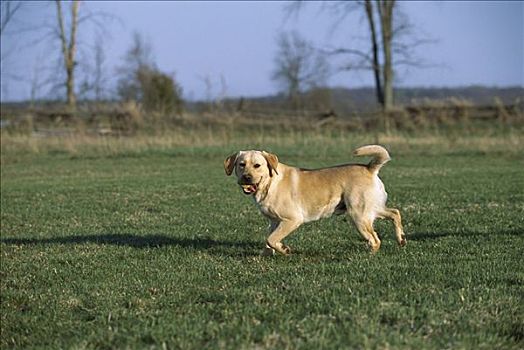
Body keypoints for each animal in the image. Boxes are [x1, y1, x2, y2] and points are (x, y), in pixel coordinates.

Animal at [224, 144, 406, 256]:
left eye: (257, 165)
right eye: (241, 164)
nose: (246, 177)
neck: (270, 183)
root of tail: (370, 168)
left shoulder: (292, 220)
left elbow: (271, 239)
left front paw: (284, 249)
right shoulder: (274, 221)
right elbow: (269, 240)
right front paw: (266, 254)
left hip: (358, 215)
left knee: (375, 240)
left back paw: (369, 254)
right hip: (371, 210)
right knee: (395, 213)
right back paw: (401, 239)